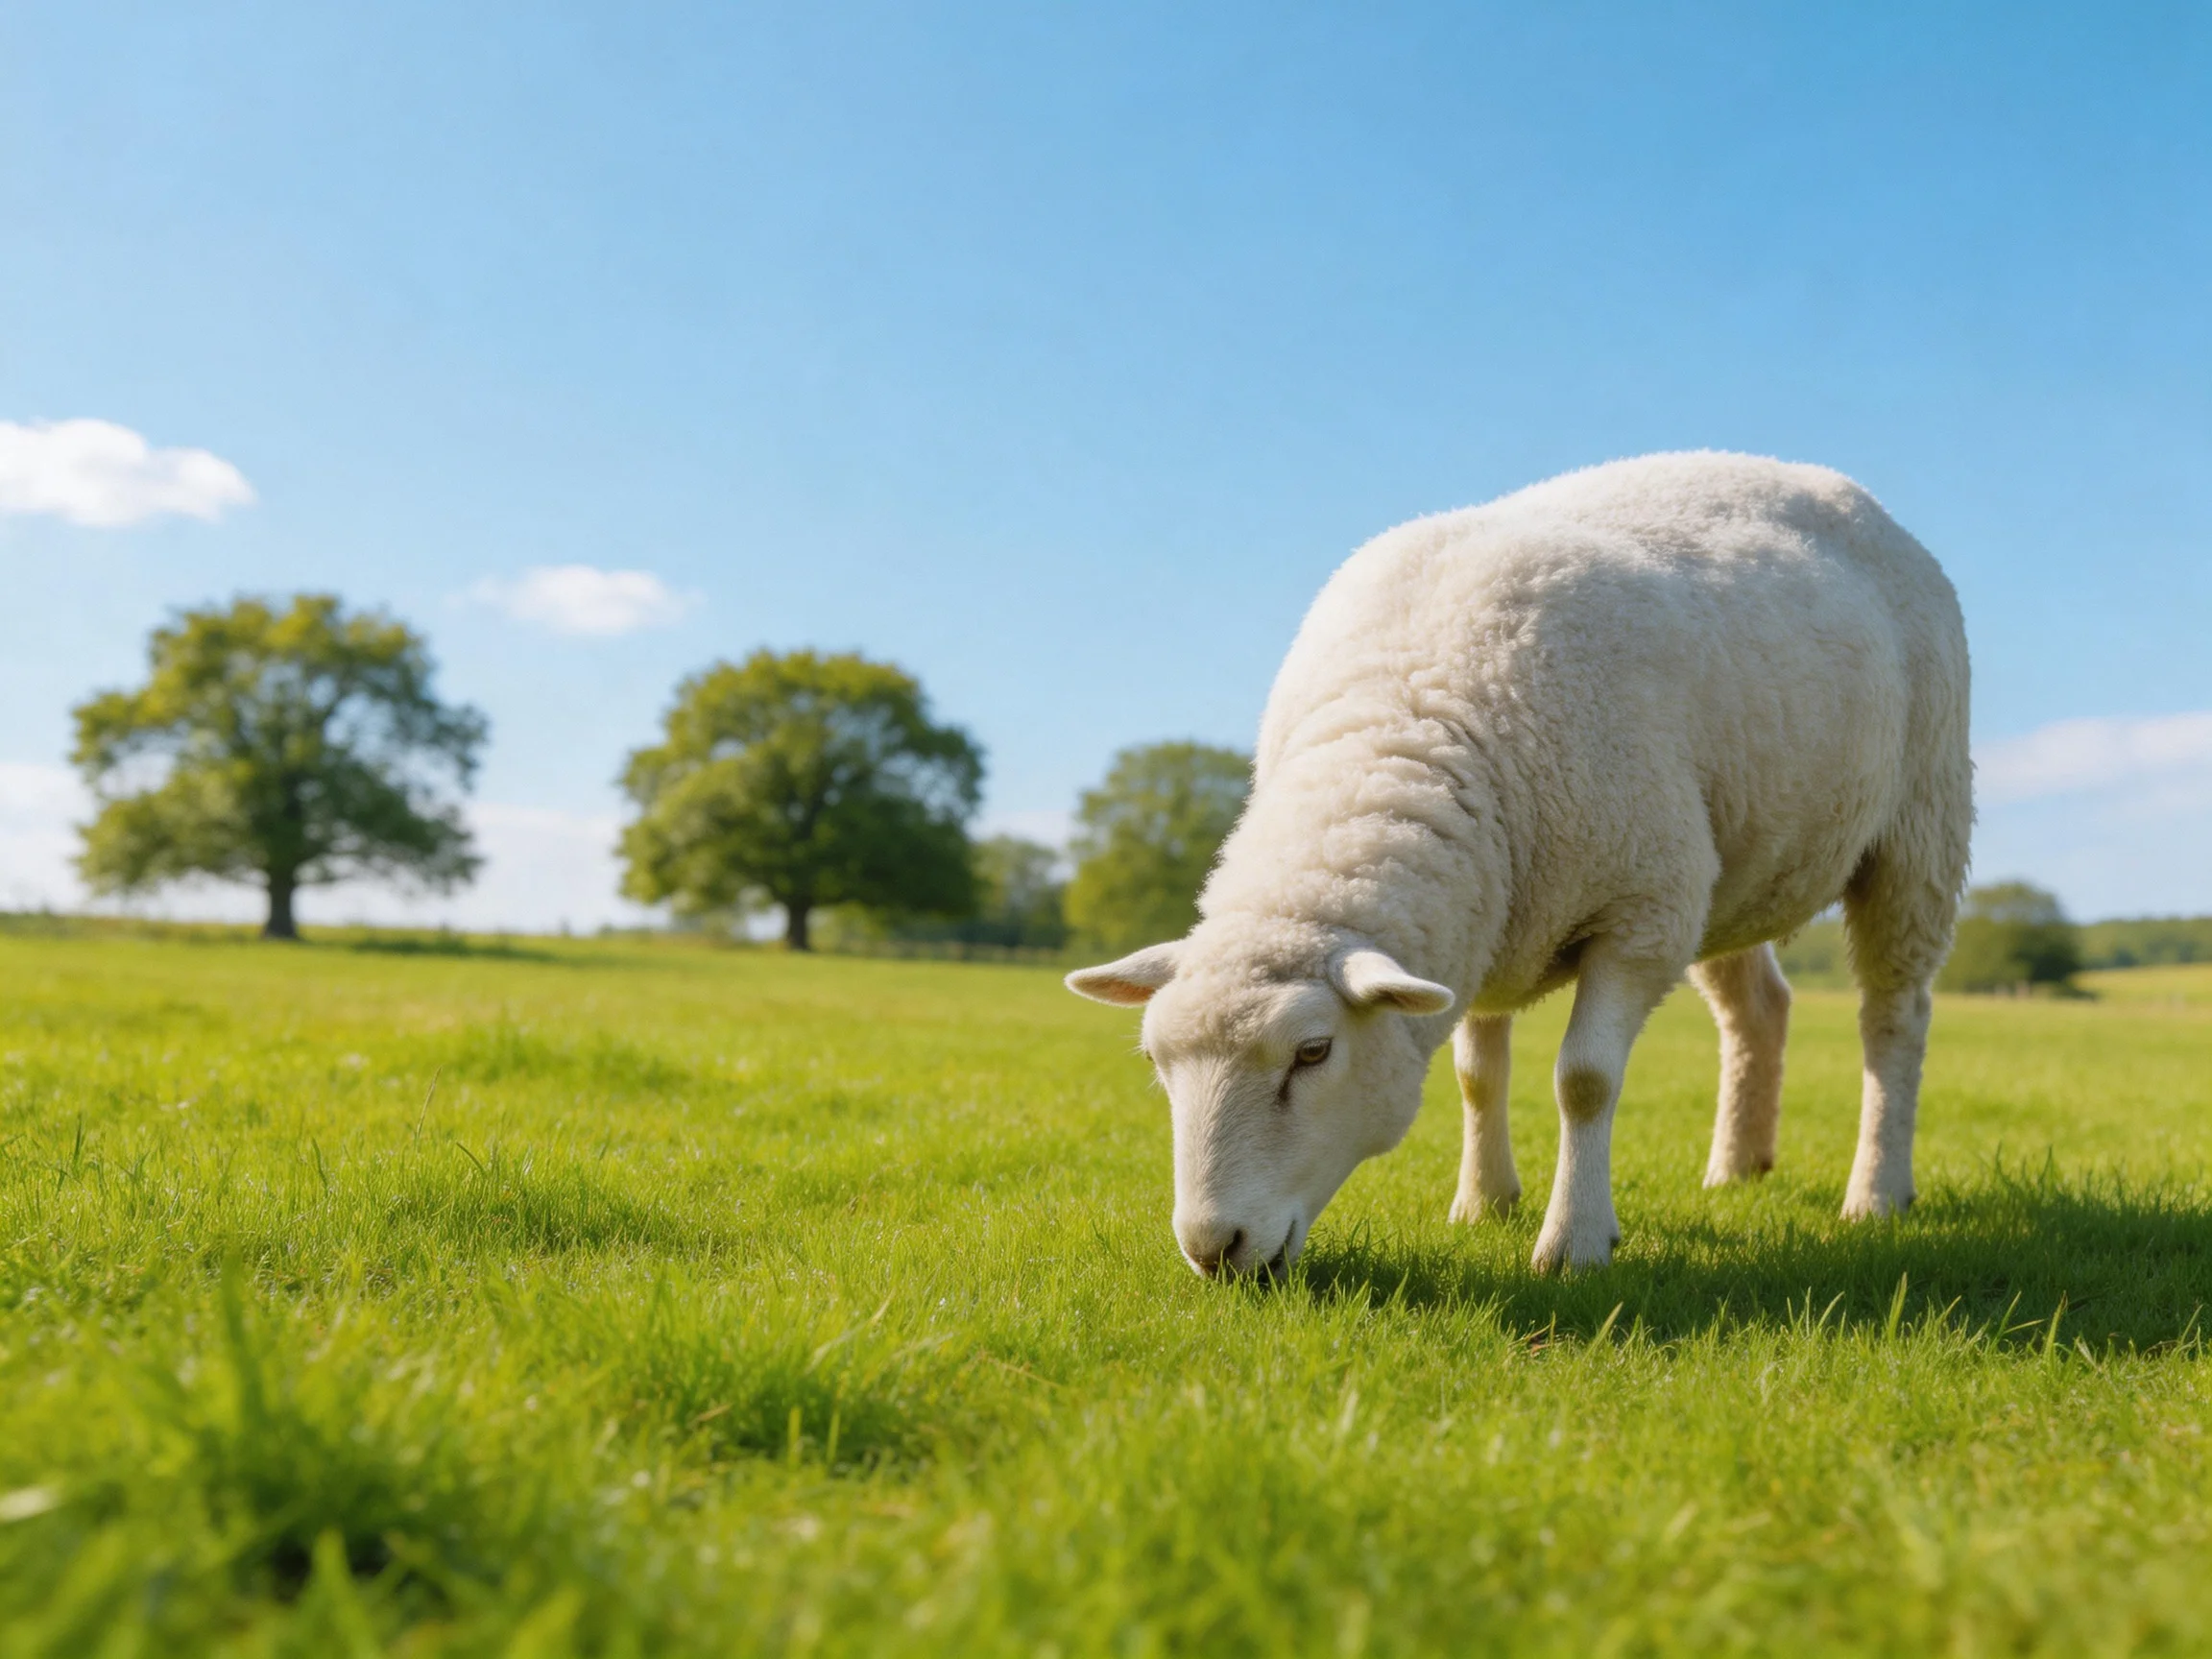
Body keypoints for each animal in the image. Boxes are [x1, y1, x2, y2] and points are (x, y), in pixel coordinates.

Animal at [1067, 451, 1971, 1276]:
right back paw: (1736, 1168)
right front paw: (1482, 1202)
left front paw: (1574, 1242)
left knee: (1894, 1017)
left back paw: (1877, 1191)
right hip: (1732, 857)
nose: (1212, 1248)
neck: (1404, 718)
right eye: (1155, 1062)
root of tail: (1834, 483)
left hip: (1917, 826)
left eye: (1313, 1052)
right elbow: (1476, 1073)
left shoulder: (1640, 909)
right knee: (1758, 1008)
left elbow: (1585, 1080)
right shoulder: (1491, 911)